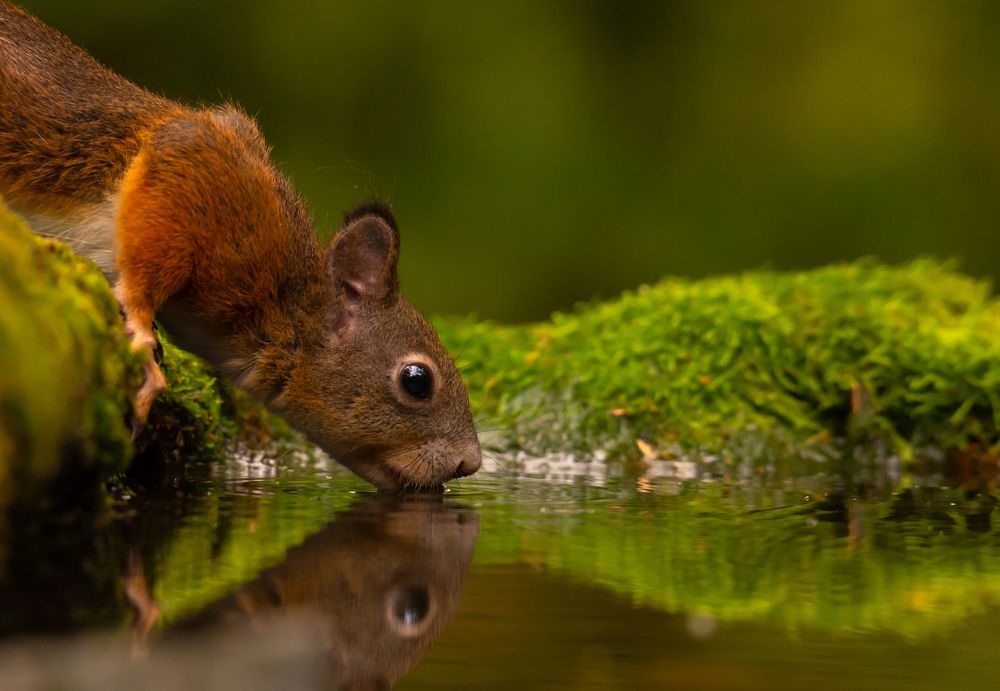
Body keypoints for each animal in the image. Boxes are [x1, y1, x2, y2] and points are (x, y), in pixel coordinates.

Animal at [0, 2, 481, 490]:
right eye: (417, 380)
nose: (471, 464)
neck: (282, 299)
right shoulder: (207, 179)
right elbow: (148, 263)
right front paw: (140, 326)